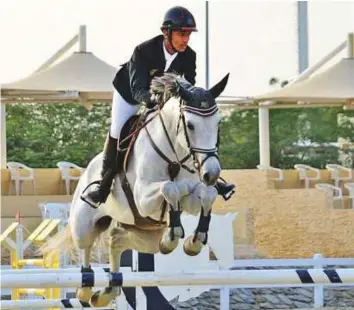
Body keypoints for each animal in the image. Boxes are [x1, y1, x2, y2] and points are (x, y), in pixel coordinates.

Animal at [42, 72, 230, 308]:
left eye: (218, 123)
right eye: (191, 125)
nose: (211, 174)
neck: (174, 154)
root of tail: (86, 171)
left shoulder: (193, 194)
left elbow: (206, 194)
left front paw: (193, 243)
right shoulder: (143, 197)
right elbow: (170, 188)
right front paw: (176, 234)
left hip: (145, 235)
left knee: (117, 239)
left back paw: (109, 291)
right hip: (83, 224)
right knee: (86, 245)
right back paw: (85, 289)